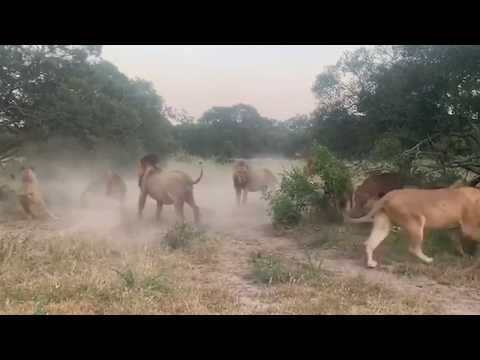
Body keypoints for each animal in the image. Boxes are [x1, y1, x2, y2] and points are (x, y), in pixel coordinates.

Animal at [344, 187, 480, 268]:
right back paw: (428, 260)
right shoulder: (470, 228)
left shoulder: (454, 229)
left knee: (369, 242)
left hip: (383, 225)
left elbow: (457, 243)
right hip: (416, 223)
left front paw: (464, 256)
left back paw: (370, 263)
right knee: (413, 248)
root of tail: (390, 194)